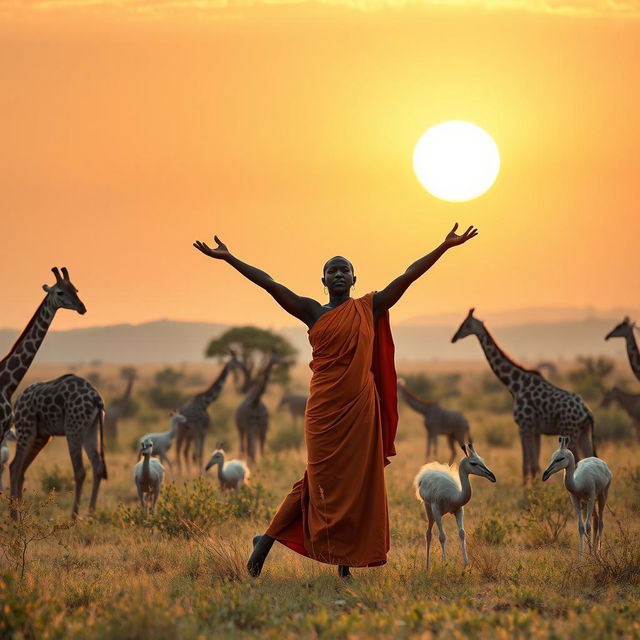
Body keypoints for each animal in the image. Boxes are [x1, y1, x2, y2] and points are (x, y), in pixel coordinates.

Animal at [10, 376, 106, 520]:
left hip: (69, 430)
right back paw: (90, 514)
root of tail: (97, 400)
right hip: (88, 429)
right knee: (97, 466)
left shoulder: (27, 427)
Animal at [450, 308, 596, 480]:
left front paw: (530, 487)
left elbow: (528, 465)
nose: (454, 338)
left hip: (570, 432)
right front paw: (535, 485)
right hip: (583, 434)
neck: (515, 385)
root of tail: (587, 412)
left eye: (466, 324)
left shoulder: (524, 427)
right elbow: (534, 465)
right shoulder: (535, 431)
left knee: (578, 460)